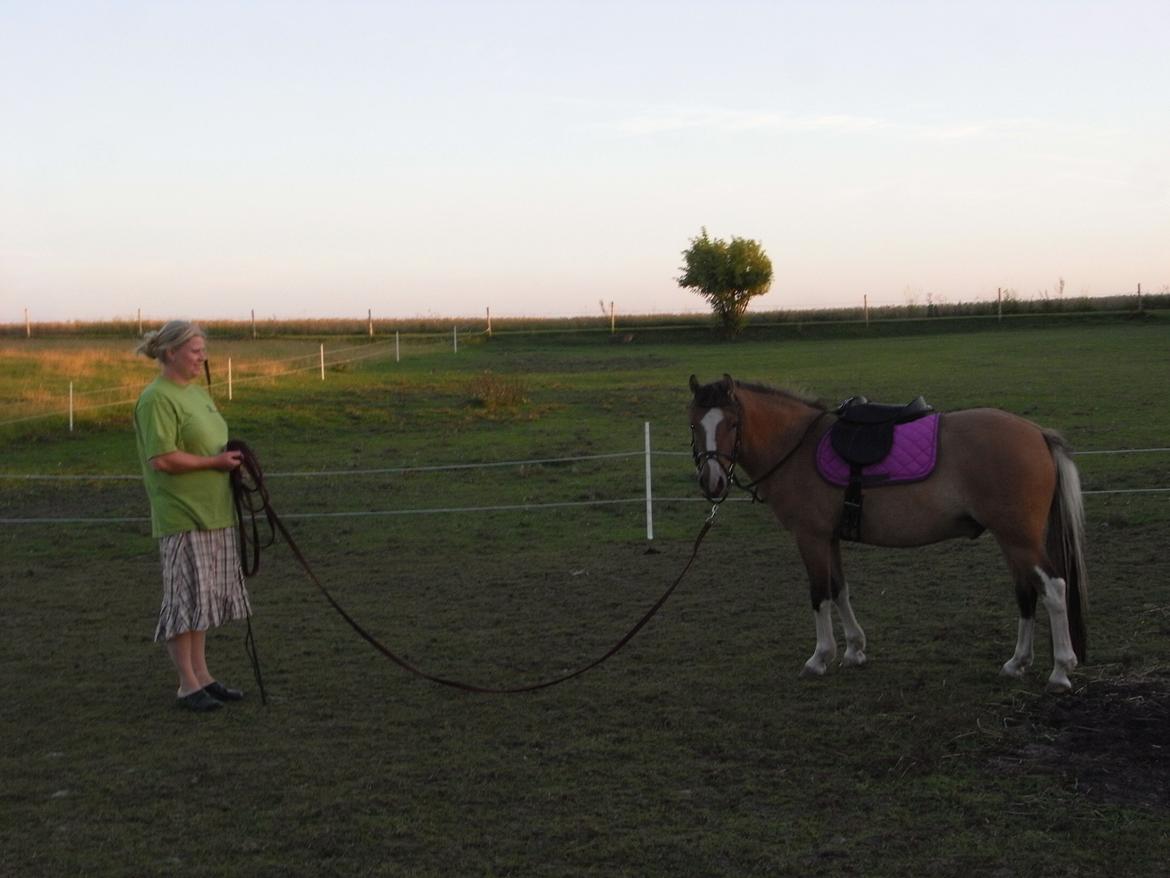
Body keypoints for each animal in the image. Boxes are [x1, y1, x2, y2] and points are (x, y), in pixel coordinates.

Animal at [683, 374, 1085, 693]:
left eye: (731, 424)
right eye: (693, 424)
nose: (711, 482)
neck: (798, 447)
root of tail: (1037, 433)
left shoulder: (810, 537)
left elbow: (819, 594)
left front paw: (820, 657)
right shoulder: (829, 538)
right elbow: (839, 589)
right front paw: (854, 649)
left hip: (1020, 539)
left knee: (1053, 589)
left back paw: (1061, 670)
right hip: (1011, 540)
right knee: (1026, 593)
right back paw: (1017, 663)